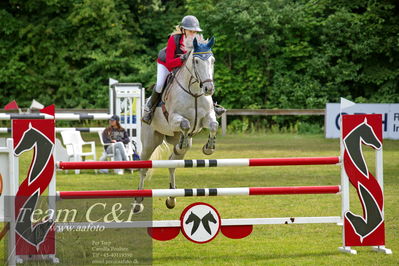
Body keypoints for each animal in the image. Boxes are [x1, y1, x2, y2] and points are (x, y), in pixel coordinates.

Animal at [133, 36, 217, 213]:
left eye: (212, 60)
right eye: (196, 61)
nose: (209, 88)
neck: (194, 92)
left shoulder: (207, 117)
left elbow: (213, 126)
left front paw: (208, 148)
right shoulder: (173, 119)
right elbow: (185, 124)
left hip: (176, 142)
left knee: (173, 163)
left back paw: (171, 198)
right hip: (150, 141)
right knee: (144, 167)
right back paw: (137, 202)